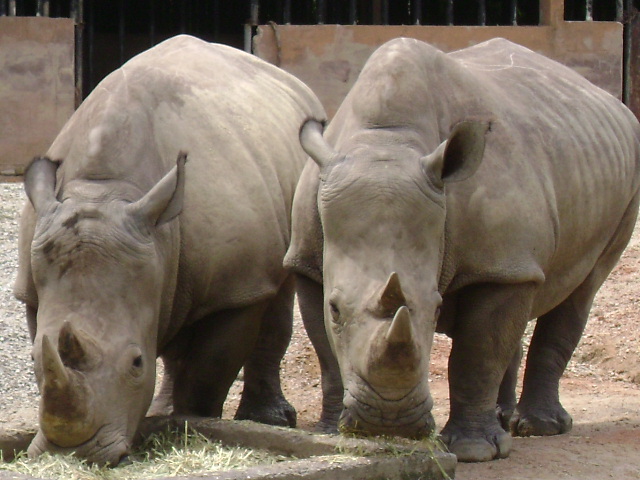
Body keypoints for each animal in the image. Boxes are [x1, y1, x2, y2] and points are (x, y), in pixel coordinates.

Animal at [13, 34, 326, 465]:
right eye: (30, 362)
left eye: (136, 363)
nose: (73, 453)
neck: (105, 190)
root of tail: (286, 79)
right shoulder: (34, 287)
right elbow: (48, 342)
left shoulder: (236, 288)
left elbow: (208, 373)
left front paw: (193, 424)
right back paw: (164, 409)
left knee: (278, 287)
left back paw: (268, 420)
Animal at [285, 37, 640, 462]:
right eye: (336, 308)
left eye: (437, 307)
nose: (389, 421)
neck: (386, 141)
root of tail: (610, 100)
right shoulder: (306, 260)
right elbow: (326, 352)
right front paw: (331, 435)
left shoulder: (499, 262)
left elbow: (478, 353)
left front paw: (474, 451)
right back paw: (504, 419)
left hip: (622, 184)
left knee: (581, 289)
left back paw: (537, 428)